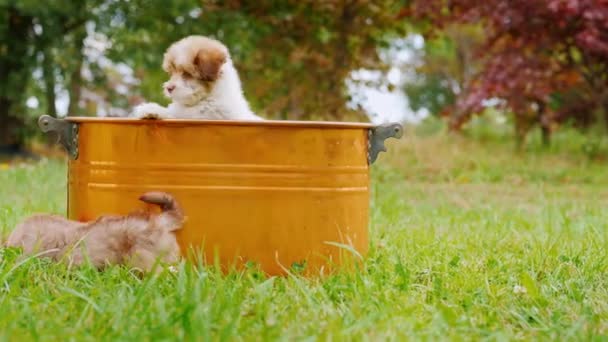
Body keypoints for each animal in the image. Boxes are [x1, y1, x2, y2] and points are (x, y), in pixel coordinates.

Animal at [133, 35, 262, 121]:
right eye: (172, 73)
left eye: (187, 74)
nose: (169, 88)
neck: (207, 97)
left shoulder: (205, 115)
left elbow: (176, 114)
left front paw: (152, 109)